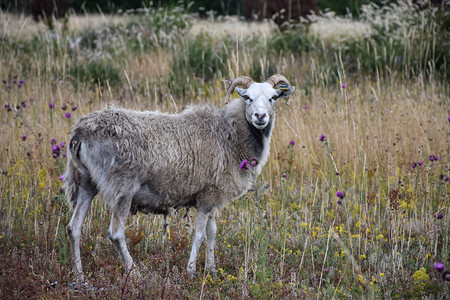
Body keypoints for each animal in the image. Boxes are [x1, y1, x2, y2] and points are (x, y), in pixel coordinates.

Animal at [64, 74, 296, 280]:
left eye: (273, 97)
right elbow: (199, 234)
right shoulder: (207, 197)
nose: (260, 117)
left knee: (73, 228)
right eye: (247, 97)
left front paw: (211, 269)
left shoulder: (211, 195)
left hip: (85, 183)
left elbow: (212, 232)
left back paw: (79, 274)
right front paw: (191, 271)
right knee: (115, 233)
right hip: (122, 188)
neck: (230, 136)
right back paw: (134, 272)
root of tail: (81, 132)